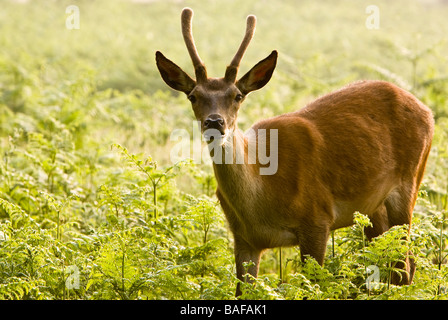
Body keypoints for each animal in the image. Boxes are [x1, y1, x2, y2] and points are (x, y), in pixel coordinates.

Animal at [155, 8, 434, 298]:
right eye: (193, 96)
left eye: (237, 96)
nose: (214, 122)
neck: (263, 194)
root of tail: (426, 109)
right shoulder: (243, 238)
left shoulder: (318, 218)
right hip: (372, 209)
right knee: (399, 264)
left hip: (410, 180)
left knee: (404, 266)